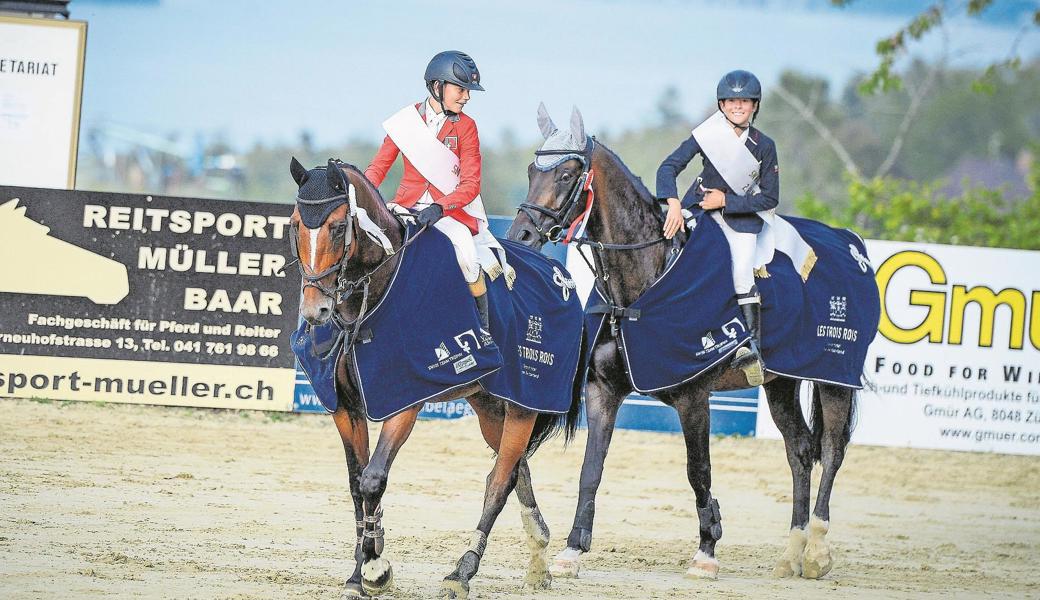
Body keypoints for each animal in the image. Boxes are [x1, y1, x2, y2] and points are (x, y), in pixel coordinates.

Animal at [289, 157, 582, 594]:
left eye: (339, 227)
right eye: (295, 225)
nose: (315, 311)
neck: (374, 294)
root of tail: (561, 275)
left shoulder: (405, 400)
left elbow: (373, 479)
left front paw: (376, 569)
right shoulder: (345, 408)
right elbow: (357, 484)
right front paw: (358, 574)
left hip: (524, 401)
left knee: (499, 482)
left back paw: (462, 573)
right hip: (489, 404)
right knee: (515, 470)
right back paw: (538, 560)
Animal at [505, 107, 861, 582]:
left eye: (566, 173)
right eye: (532, 170)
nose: (521, 236)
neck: (641, 284)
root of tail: (851, 247)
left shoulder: (694, 398)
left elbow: (699, 471)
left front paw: (707, 550)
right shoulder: (603, 391)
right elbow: (591, 470)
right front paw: (572, 550)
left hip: (834, 379)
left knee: (832, 452)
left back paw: (818, 552)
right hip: (781, 383)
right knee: (801, 451)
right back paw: (791, 554)